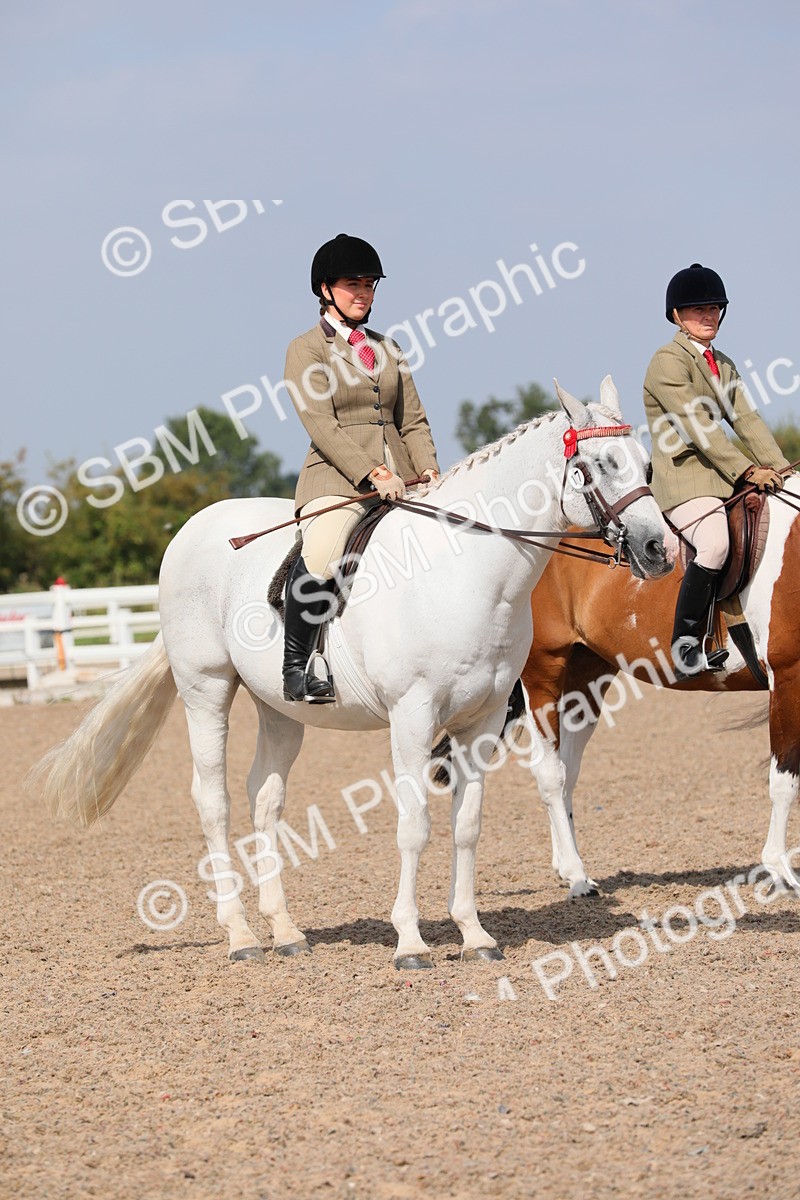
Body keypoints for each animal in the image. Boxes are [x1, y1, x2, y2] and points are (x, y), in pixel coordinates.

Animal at [29, 378, 670, 970]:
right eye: (596, 466)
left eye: (645, 465)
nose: (659, 550)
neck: (465, 573)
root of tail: (194, 529)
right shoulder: (413, 716)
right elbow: (415, 824)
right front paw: (410, 942)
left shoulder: (482, 720)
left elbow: (466, 824)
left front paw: (474, 935)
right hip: (205, 688)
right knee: (213, 800)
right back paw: (240, 936)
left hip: (279, 708)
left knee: (265, 798)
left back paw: (285, 931)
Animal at [519, 473, 800, 898]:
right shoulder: (788, 676)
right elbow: (784, 780)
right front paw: (780, 870)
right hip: (542, 671)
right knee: (550, 772)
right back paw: (576, 876)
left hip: (587, 675)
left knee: (567, 767)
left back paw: (570, 868)